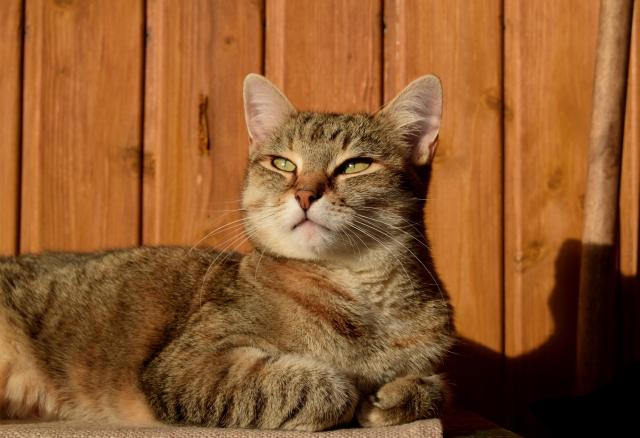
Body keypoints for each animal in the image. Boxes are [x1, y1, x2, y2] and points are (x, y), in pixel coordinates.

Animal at [2, 75, 458, 432]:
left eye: (355, 165)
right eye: (282, 164)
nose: (305, 194)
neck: (358, 295)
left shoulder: (432, 364)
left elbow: (437, 387)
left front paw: (390, 396)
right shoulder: (187, 365)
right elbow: (323, 388)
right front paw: (352, 390)